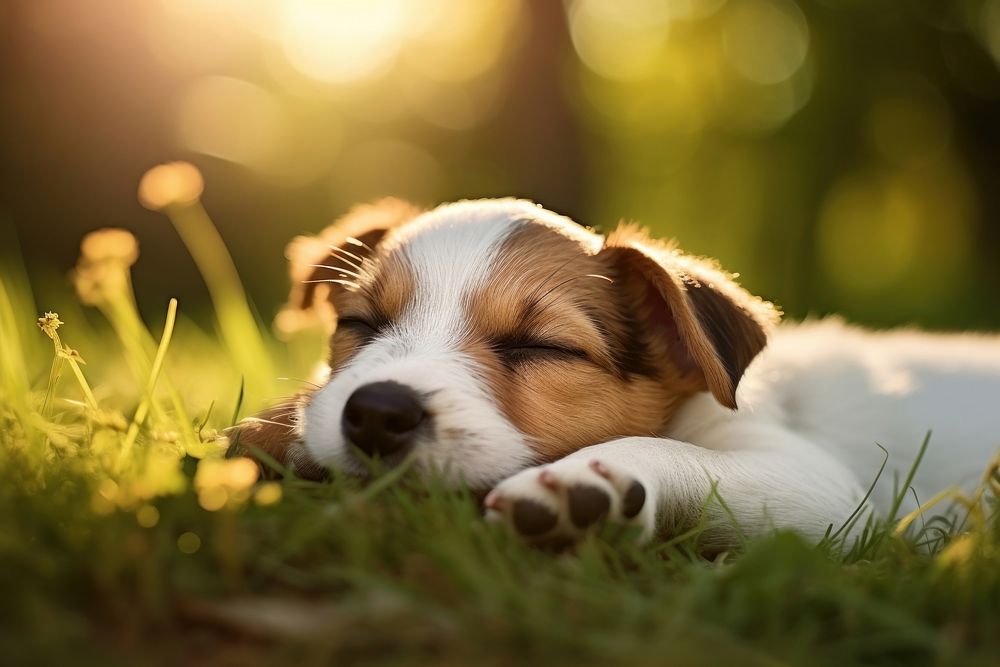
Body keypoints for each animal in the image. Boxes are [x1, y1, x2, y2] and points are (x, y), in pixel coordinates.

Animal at [230, 200, 1000, 552]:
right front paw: (274, 434)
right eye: (361, 323)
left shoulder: (829, 491)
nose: (377, 413)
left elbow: (664, 452)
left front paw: (581, 483)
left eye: (539, 346)